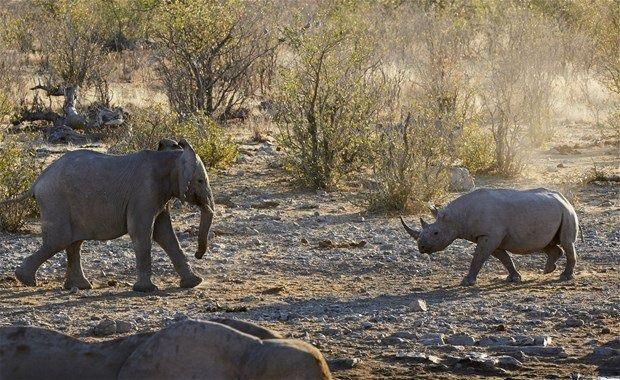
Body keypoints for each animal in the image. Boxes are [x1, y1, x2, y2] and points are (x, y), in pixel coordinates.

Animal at [0, 139, 213, 290]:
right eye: (201, 181)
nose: (198, 254)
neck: (170, 158)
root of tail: (37, 182)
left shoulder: (159, 195)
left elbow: (165, 234)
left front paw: (194, 283)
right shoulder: (144, 192)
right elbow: (142, 231)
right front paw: (146, 290)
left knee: (73, 243)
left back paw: (80, 287)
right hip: (55, 201)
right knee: (58, 240)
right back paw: (26, 280)